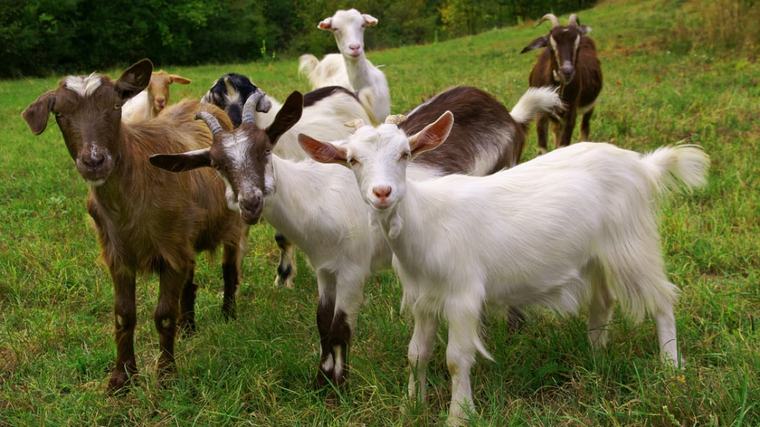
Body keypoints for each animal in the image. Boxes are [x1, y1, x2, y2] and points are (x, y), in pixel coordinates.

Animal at [21, 59, 245, 392]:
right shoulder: (118, 253)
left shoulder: (170, 250)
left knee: (229, 269)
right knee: (190, 282)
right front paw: (121, 378)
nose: (94, 161)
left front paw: (166, 375)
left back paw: (229, 315)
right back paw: (188, 327)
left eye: (116, 106)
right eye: (59, 114)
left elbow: (163, 314)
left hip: (230, 223)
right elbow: (123, 315)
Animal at [201, 73, 374, 288]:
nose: (235, 127)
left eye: (247, 95)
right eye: (217, 101)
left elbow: (282, 238)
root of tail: (346, 91)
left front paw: (283, 278)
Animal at [301, 112, 708, 424]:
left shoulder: (463, 295)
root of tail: (642, 166)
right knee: (603, 301)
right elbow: (416, 354)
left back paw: (671, 367)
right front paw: (410, 406)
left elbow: (456, 359)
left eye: (405, 153)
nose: (383, 193)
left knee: (662, 299)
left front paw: (459, 415)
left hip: (631, 242)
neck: (425, 223)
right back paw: (596, 357)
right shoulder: (422, 299)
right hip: (597, 254)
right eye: (352, 160)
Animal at [521, 13, 602, 153]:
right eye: (550, 46)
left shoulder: (571, 112)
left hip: (590, 106)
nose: (567, 71)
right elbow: (543, 148)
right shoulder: (541, 113)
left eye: (577, 46)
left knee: (584, 128)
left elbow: (563, 145)